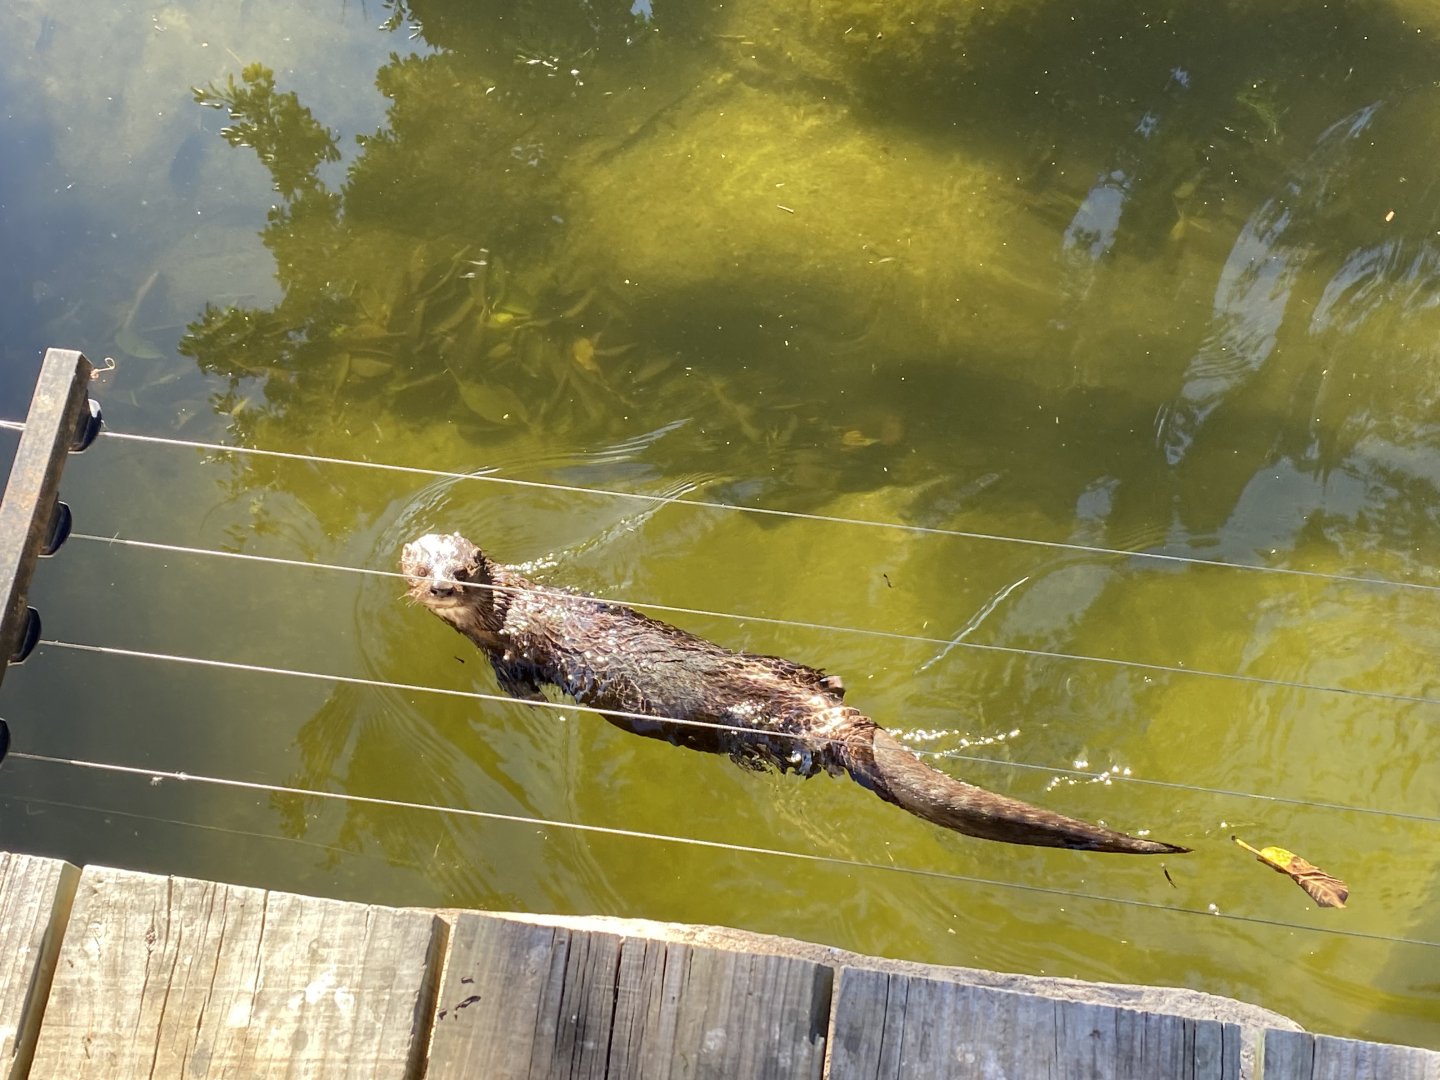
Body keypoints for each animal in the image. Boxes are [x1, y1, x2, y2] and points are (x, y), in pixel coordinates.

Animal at [400, 532, 1188, 855]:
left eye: (463, 570)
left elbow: (517, 678)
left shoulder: (514, 651)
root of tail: (831, 720)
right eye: (420, 565)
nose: (440, 588)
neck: (513, 608)